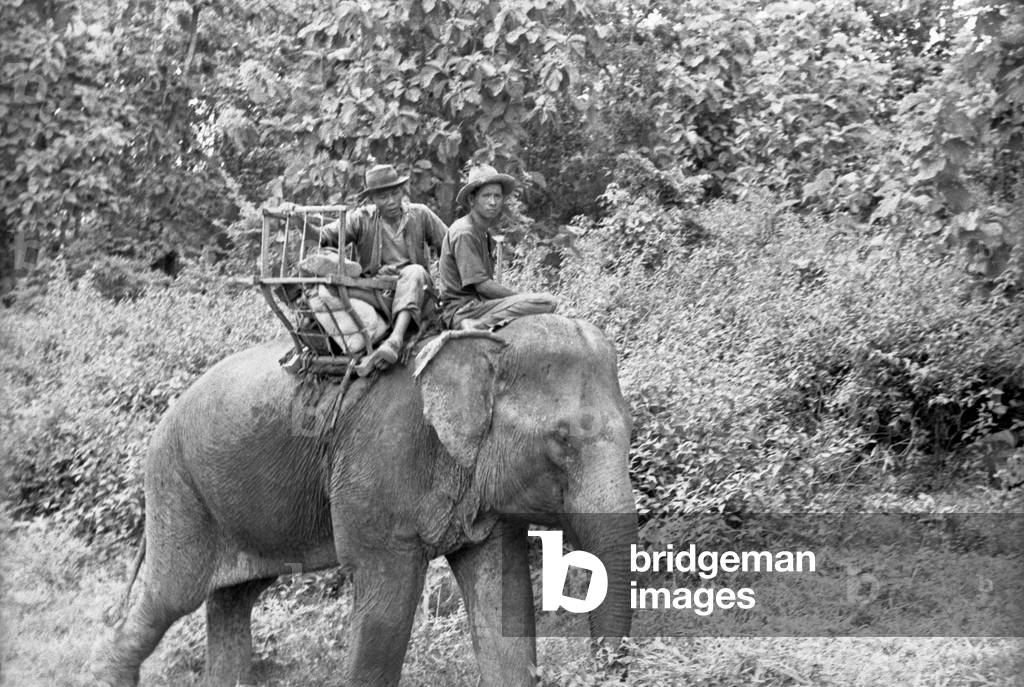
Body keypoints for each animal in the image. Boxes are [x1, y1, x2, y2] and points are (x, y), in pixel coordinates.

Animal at [90, 313, 637, 686]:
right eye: (562, 440)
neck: (486, 339)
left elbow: (503, 595)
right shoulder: (378, 460)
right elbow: (385, 604)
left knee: (233, 600)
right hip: (177, 488)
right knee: (170, 597)